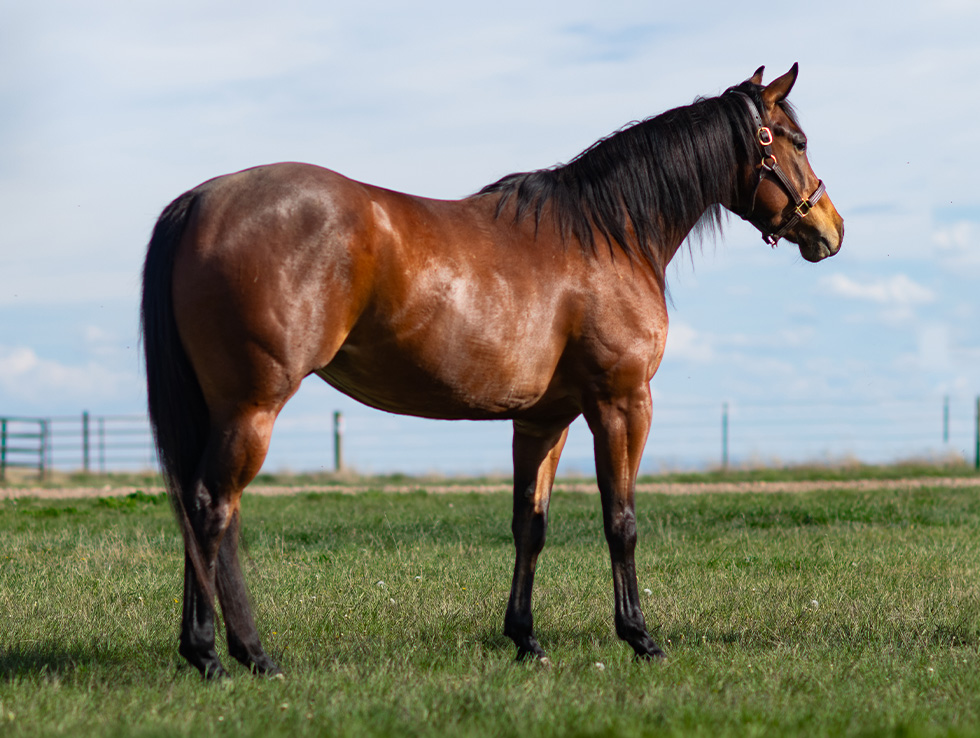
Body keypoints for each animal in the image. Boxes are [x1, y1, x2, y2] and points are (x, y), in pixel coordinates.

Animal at [141, 63, 843, 678]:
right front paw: (641, 638)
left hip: (222, 410)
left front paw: (526, 641)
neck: (608, 234)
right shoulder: (621, 403)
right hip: (252, 406)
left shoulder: (544, 420)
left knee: (204, 509)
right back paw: (232, 656)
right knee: (211, 508)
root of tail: (203, 199)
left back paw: (218, 652)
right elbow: (621, 522)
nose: (830, 228)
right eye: (797, 140)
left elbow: (529, 526)